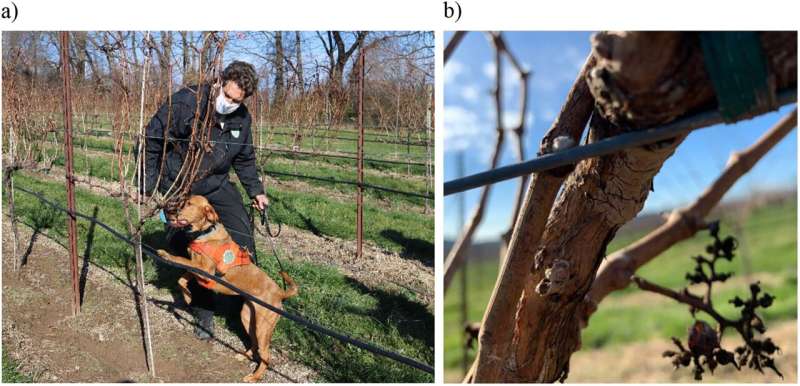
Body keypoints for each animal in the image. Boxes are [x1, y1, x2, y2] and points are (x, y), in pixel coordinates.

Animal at [155, 195, 296, 382]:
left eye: (189, 204)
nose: (169, 211)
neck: (205, 232)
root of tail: (280, 292)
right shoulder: (199, 270)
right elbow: (182, 279)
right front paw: (187, 296)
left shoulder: (205, 270)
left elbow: (180, 260)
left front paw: (166, 255)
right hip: (248, 317)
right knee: (255, 344)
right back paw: (244, 355)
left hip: (262, 326)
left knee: (266, 354)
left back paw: (255, 376)